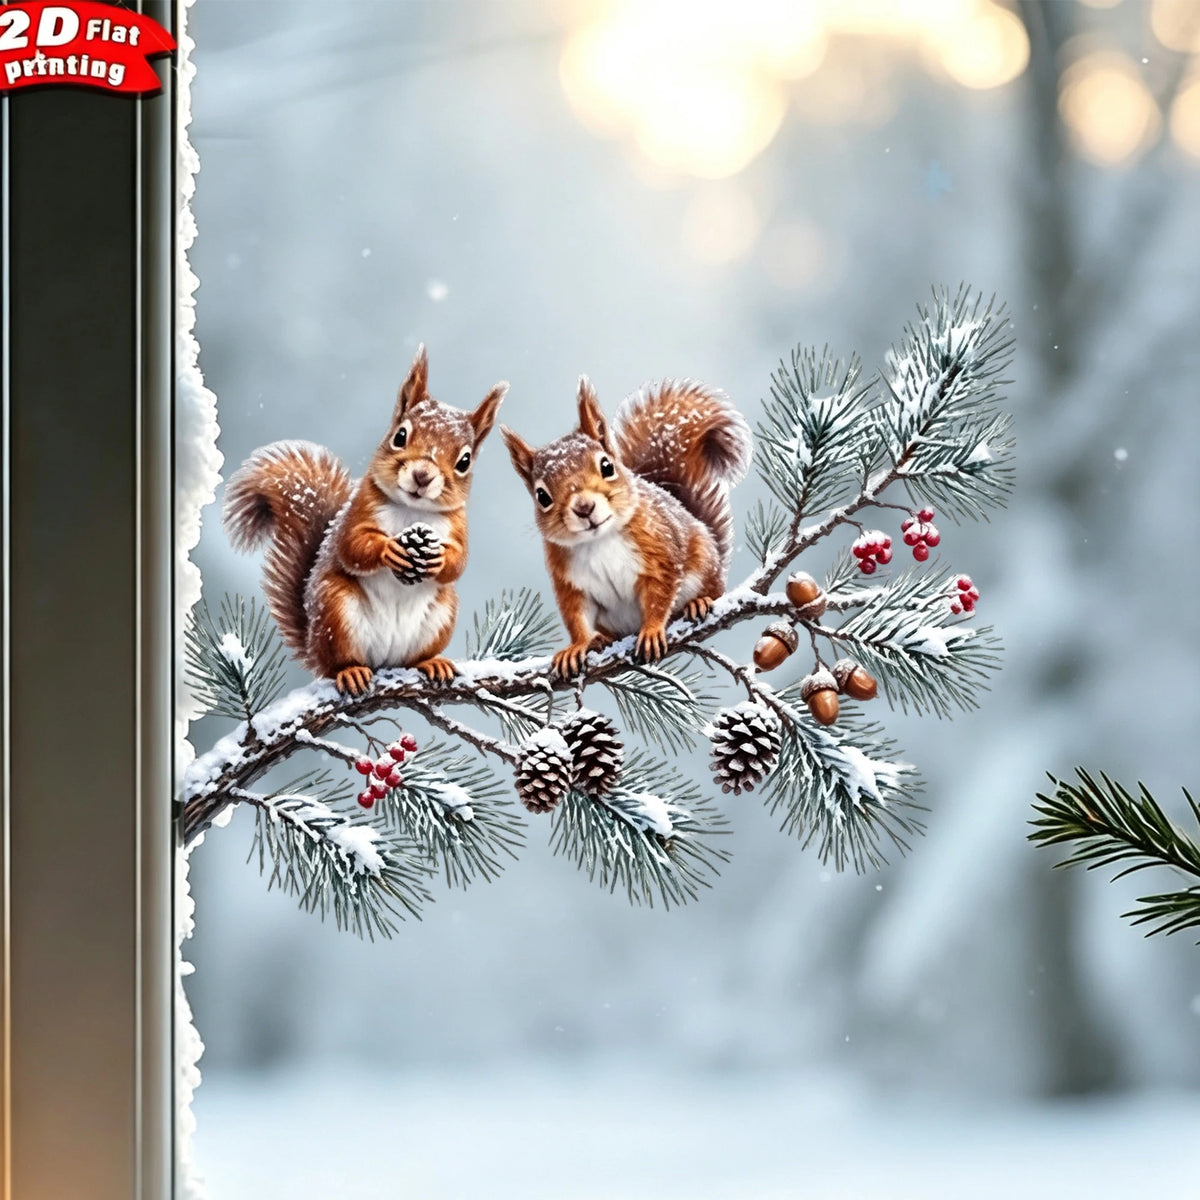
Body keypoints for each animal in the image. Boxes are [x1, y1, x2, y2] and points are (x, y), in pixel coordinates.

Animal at [223, 345, 506, 696]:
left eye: (465, 461)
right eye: (400, 436)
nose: (422, 476)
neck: (413, 512)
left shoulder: (457, 527)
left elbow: (460, 562)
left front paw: (439, 558)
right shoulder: (359, 511)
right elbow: (351, 546)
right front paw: (389, 550)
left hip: (442, 613)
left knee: (414, 657)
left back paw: (431, 662)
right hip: (336, 610)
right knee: (335, 664)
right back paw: (351, 671)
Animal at [501, 375, 751, 676]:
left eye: (607, 467)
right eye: (542, 496)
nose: (584, 508)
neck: (598, 541)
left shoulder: (660, 554)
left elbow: (659, 596)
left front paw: (652, 630)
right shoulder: (570, 583)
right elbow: (576, 617)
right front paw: (577, 647)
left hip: (705, 564)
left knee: (712, 590)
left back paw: (699, 603)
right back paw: (602, 639)